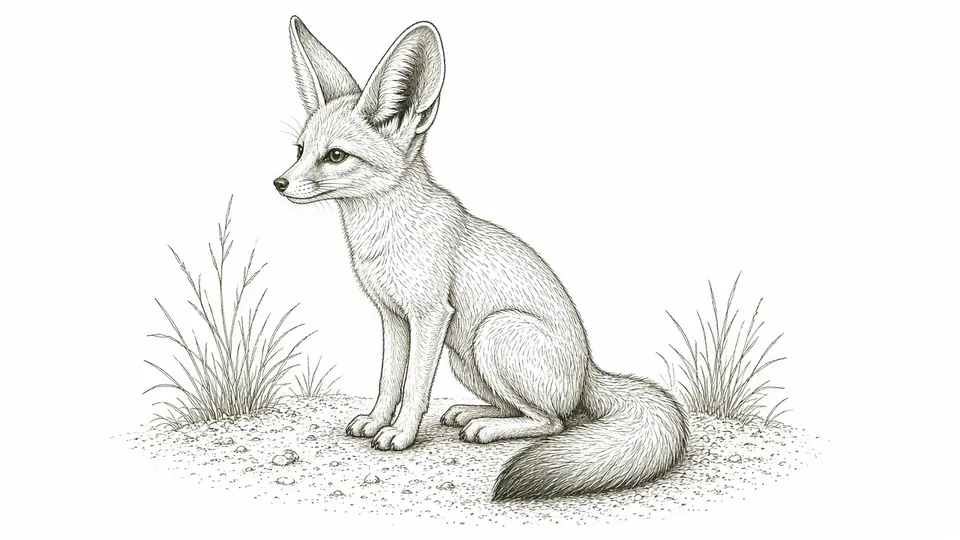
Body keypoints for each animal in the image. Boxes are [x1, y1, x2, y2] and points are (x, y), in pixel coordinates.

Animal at [272, 16, 688, 501]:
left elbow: (414, 387)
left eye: (336, 156)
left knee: (554, 421)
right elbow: (389, 380)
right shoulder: (392, 317)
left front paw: (401, 434)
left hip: (495, 333)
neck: (383, 234)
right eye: (300, 150)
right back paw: (472, 413)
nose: (279, 183)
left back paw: (487, 429)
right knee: (521, 409)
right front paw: (376, 421)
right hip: (465, 356)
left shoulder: (431, 315)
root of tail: (589, 371)